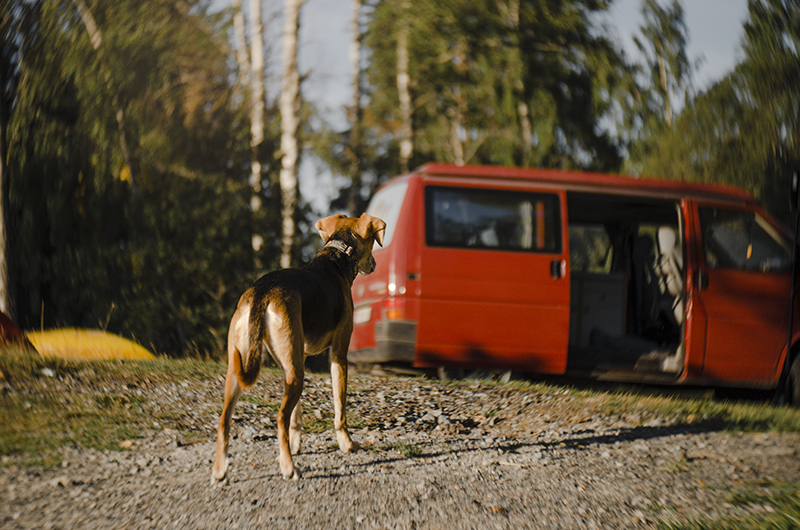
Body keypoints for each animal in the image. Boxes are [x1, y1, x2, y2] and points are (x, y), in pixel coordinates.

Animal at [212, 210, 388, 478]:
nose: (375, 265)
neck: (337, 256)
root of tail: (263, 290)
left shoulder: (300, 355)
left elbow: (296, 416)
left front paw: (296, 445)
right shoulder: (339, 356)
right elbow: (340, 410)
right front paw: (347, 444)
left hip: (248, 368)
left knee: (224, 421)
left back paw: (220, 470)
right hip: (295, 373)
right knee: (279, 417)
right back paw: (288, 467)